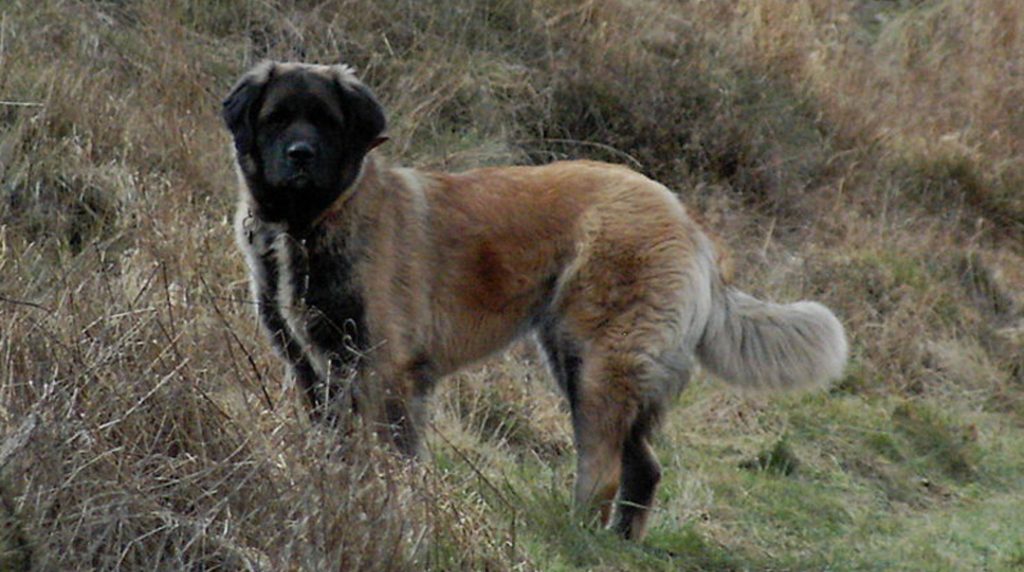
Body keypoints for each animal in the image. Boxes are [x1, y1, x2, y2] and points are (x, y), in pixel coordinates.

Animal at [222, 61, 847, 540]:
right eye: (276, 119)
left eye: (326, 122)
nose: (299, 154)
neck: (311, 223)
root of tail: (684, 217)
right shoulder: (312, 368)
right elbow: (335, 448)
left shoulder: (386, 371)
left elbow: (389, 459)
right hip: (587, 364)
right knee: (644, 469)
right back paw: (618, 545)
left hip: (596, 366)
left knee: (605, 470)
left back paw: (576, 535)